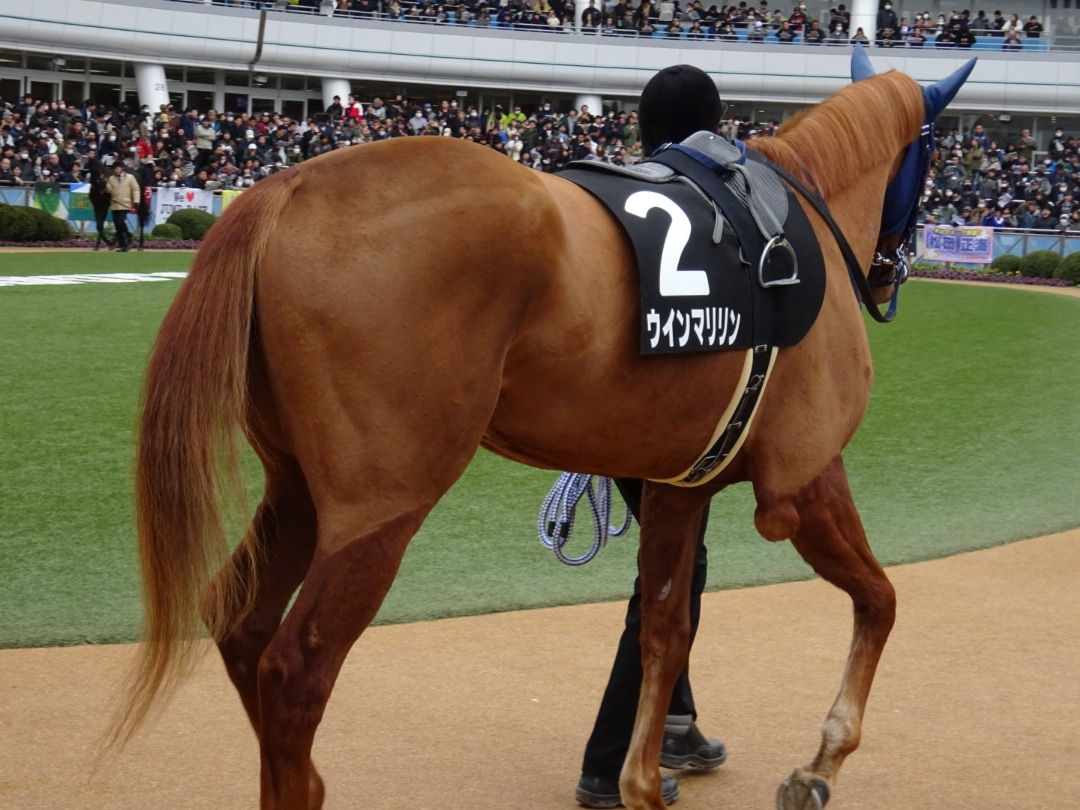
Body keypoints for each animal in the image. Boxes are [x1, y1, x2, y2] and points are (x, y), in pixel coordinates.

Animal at [110, 58, 974, 810]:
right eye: (932, 156)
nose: (894, 267)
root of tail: (287, 187)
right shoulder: (803, 479)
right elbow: (880, 599)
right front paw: (820, 763)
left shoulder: (677, 486)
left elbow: (664, 630)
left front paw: (641, 780)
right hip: (380, 508)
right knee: (294, 670)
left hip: (296, 488)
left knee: (241, 622)